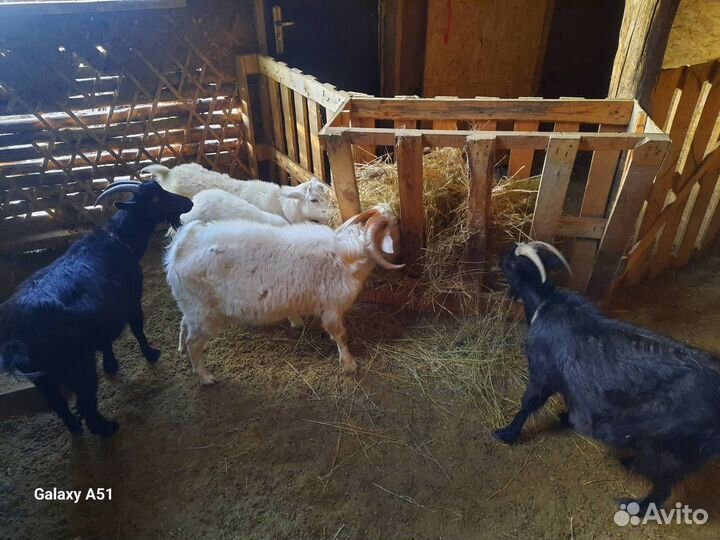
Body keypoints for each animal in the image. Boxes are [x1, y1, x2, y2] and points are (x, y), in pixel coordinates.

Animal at [0, 181, 192, 436]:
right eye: (154, 199)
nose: (188, 202)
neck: (119, 239)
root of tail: (16, 338)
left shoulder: (105, 313)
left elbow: (106, 339)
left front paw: (111, 365)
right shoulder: (132, 298)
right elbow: (137, 327)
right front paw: (151, 353)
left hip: (43, 377)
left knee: (58, 403)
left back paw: (75, 428)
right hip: (78, 364)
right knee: (85, 402)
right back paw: (107, 428)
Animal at [163, 205, 403, 385]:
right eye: (392, 222)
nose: (398, 218)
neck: (347, 256)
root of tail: (179, 253)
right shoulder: (331, 308)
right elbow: (340, 336)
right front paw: (349, 364)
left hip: (193, 306)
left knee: (184, 325)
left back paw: (182, 351)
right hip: (204, 313)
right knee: (194, 343)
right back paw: (205, 377)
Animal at [494, 241, 720, 513]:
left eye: (512, 261)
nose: (501, 255)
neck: (544, 304)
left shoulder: (542, 370)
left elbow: (528, 404)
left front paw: (507, 434)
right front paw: (565, 418)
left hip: (669, 448)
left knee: (663, 488)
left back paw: (634, 506)